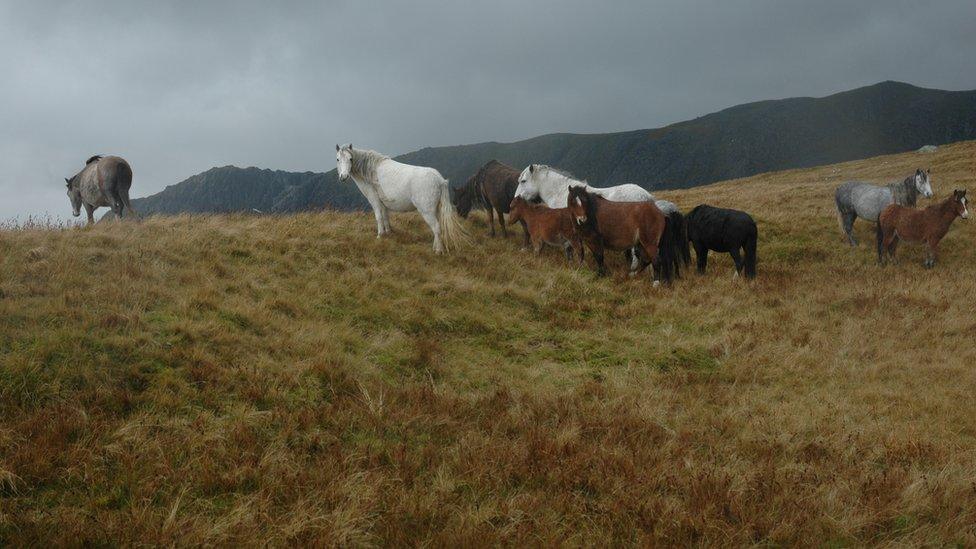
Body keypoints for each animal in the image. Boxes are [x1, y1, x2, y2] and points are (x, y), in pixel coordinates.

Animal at [336, 142, 466, 252]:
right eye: (338, 159)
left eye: (350, 159)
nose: (343, 176)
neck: (370, 170)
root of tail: (440, 180)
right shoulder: (383, 203)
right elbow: (385, 217)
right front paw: (388, 233)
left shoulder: (374, 200)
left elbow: (379, 217)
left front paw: (379, 235)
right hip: (436, 210)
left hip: (427, 211)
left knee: (437, 228)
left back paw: (438, 250)